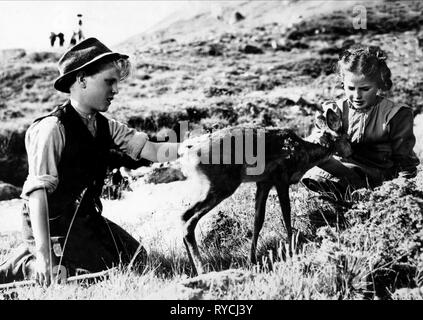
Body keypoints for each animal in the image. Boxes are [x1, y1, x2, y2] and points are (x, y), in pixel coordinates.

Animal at [142, 109, 352, 274]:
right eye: (347, 137)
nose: (351, 151)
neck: (304, 153)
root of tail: (186, 157)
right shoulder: (281, 177)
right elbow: (286, 214)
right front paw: (292, 248)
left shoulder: (263, 182)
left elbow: (258, 220)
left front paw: (253, 259)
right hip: (221, 184)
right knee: (187, 219)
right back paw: (202, 269)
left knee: (184, 218)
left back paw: (195, 268)